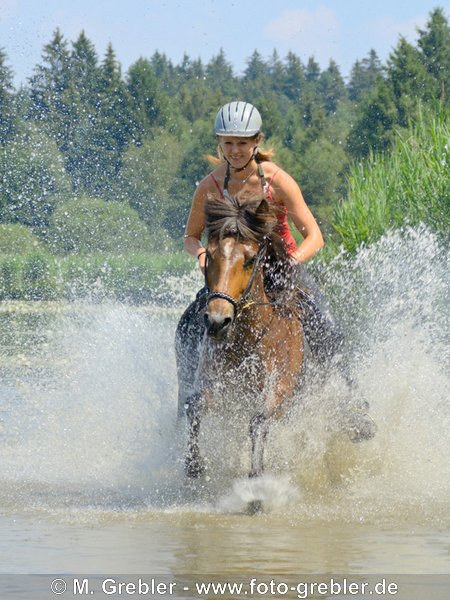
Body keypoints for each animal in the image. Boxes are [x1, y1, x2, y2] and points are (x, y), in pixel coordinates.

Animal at [174, 195, 304, 490]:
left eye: (251, 259)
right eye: (209, 255)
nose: (217, 320)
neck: (248, 337)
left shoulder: (280, 387)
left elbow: (258, 421)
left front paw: (256, 479)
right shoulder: (215, 384)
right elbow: (194, 406)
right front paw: (194, 464)